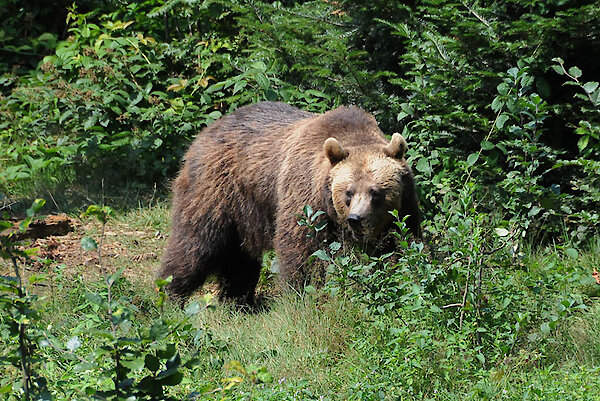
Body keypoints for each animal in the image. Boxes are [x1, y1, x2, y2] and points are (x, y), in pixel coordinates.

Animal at [159, 101, 422, 304]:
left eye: (375, 192)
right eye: (348, 192)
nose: (356, 219)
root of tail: (205, 132)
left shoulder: (404, 207)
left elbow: (403, 245)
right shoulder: (304, 197)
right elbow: (301, 249)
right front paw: (303, 293)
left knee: (239, 260)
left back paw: (237, 301)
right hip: (216, 190)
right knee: (195, 244)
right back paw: (169, 294)